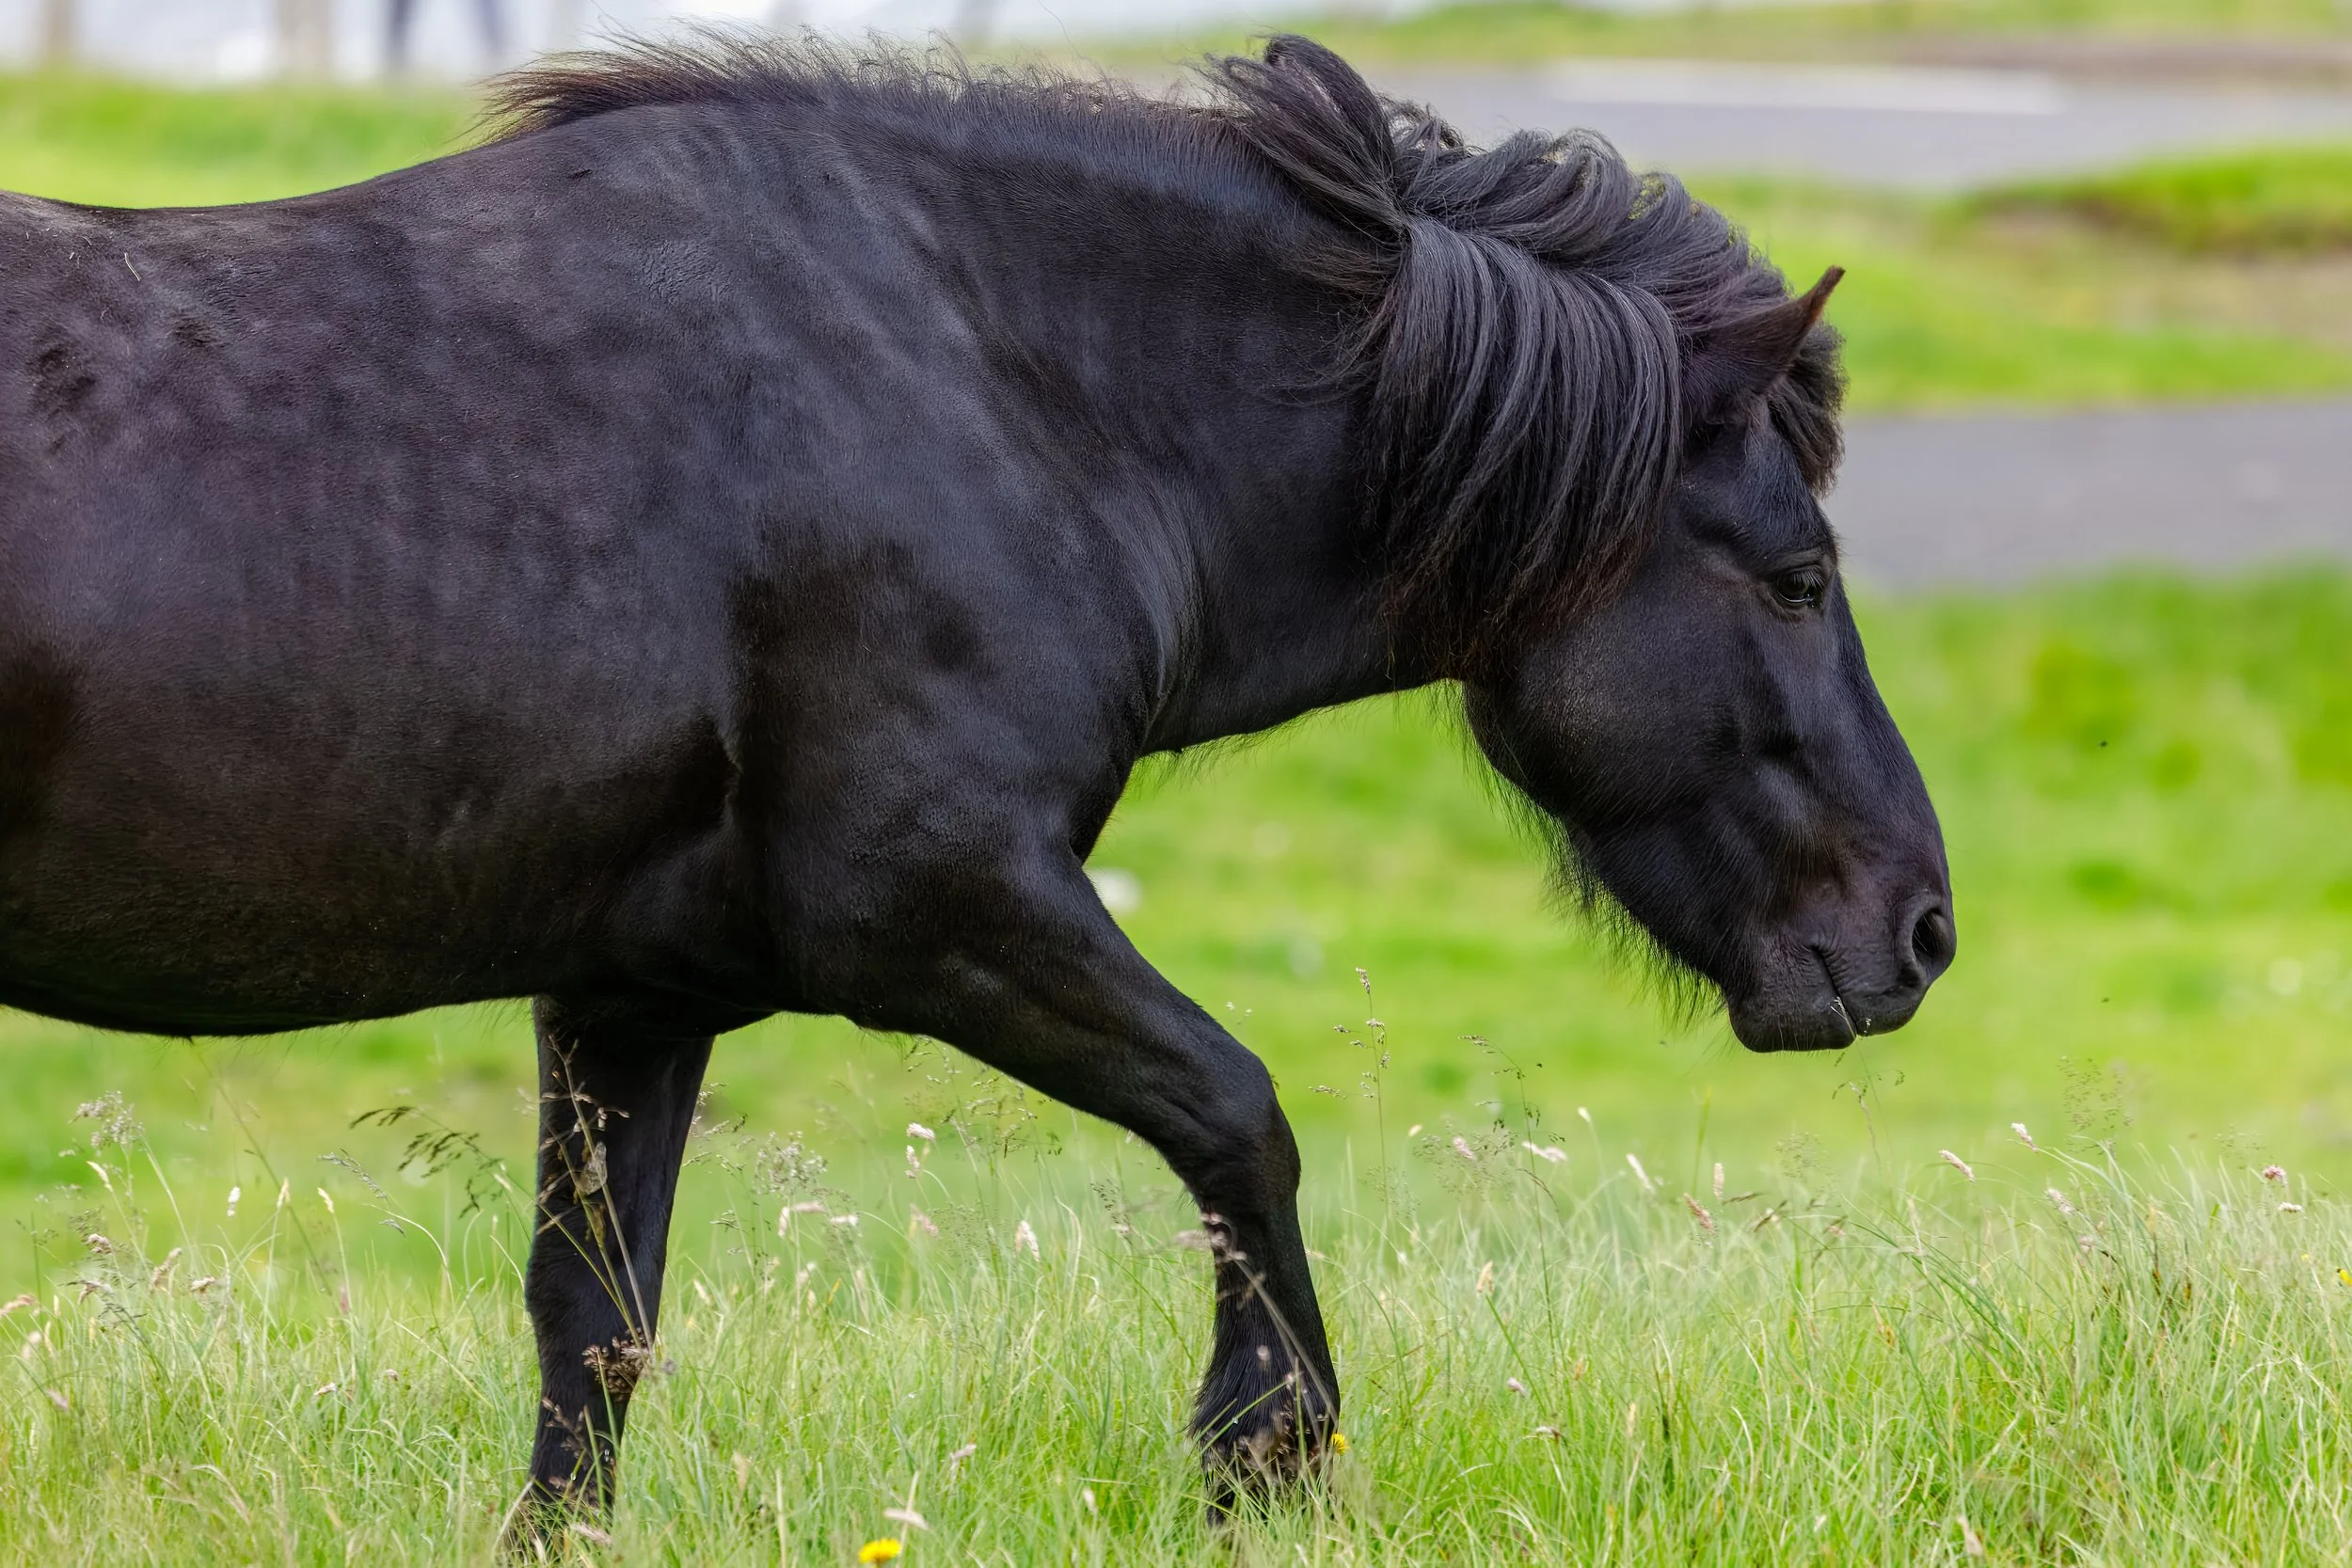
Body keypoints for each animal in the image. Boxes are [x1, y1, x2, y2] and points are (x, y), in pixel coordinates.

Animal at [0, 34, 1954, 1521]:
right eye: (1797, 576)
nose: (1917, 929)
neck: (987, 397)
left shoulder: (635, 989)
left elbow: (593, 1331)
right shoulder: (934, 912)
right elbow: (1240, 1117)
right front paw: (1266, 1448)